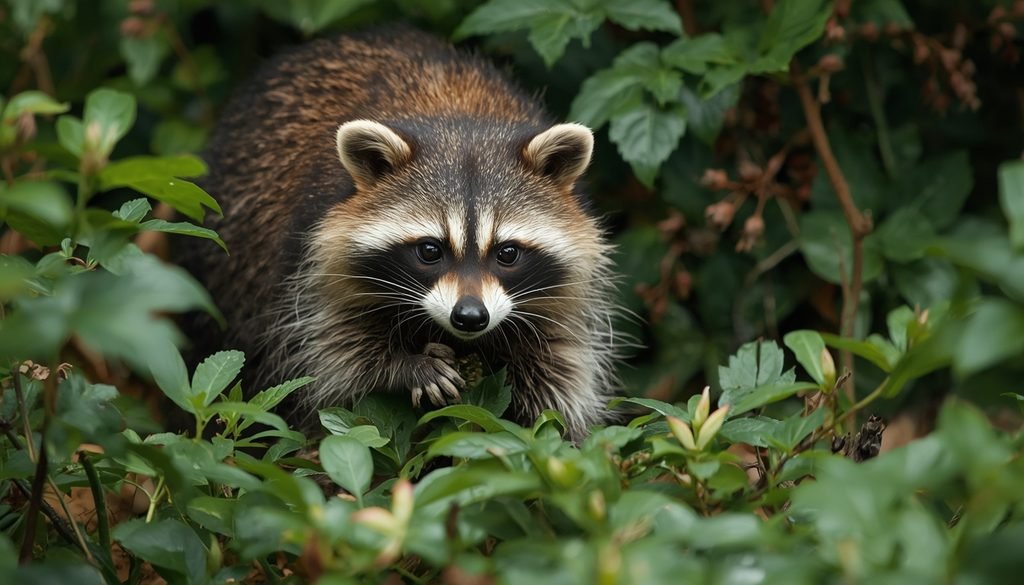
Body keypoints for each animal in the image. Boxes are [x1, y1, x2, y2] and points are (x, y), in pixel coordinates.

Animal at [179, 27, 619, 440]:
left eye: (507, 253)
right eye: (430, 250)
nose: (470, 317)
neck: (460, 121)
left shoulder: (562, 299)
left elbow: (556, 373)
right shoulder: (311, 261)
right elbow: (332, 356)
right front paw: (403, 366)